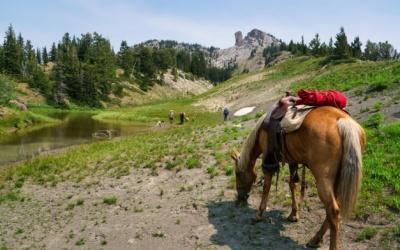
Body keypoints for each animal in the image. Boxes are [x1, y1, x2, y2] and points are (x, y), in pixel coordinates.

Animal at [231, 106, 366, 250]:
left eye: (237, 174)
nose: (240, 197)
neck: (261, 130)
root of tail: (343, 121)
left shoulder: (269, 161)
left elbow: (266, 187)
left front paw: (259, 215)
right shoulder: (292, 161)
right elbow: (292, 185)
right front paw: (294, 214)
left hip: (323, 180)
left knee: (333, 211)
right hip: (337, 179)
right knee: (333, 210)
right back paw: (315, 239)